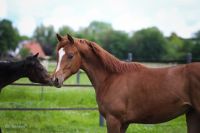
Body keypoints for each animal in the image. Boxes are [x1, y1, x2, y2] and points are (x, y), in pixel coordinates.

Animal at [52, 34, 200, 133]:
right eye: (57, 55)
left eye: (70, 55)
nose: (55, 79)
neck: (111, 78)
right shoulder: (124, 123)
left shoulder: (113, 120)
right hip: (192, 114)